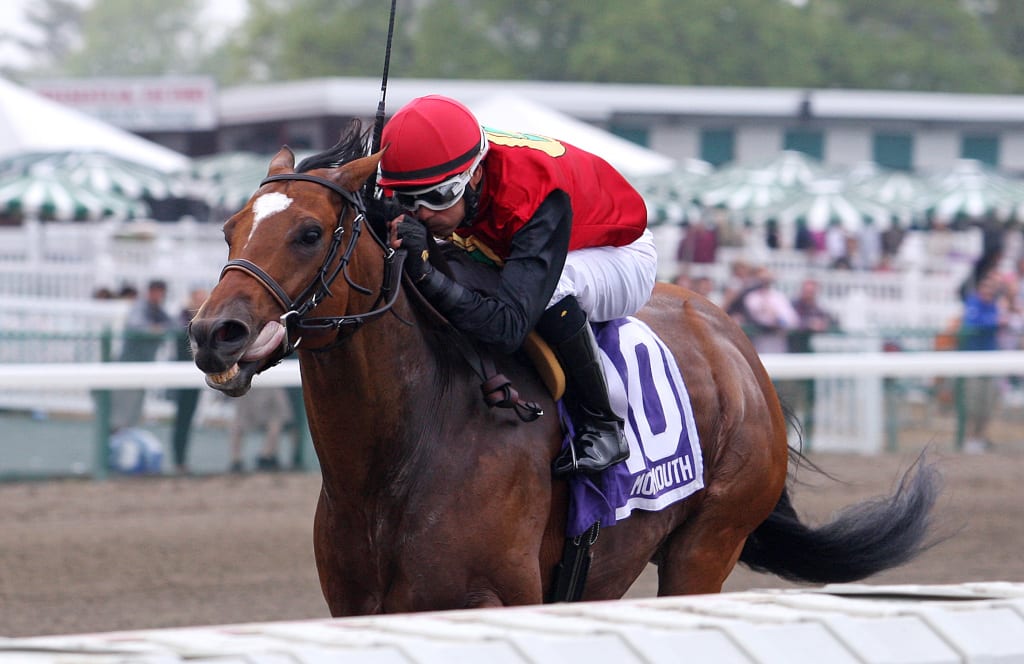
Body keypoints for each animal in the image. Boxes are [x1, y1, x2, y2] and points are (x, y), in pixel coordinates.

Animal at [188, 126, 937, 618]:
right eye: (229, 229)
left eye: (309, 233)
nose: (213, 332)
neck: (398, 455)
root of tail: (735, 344)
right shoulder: (358, 609)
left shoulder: (494, 598)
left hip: (707, 543)